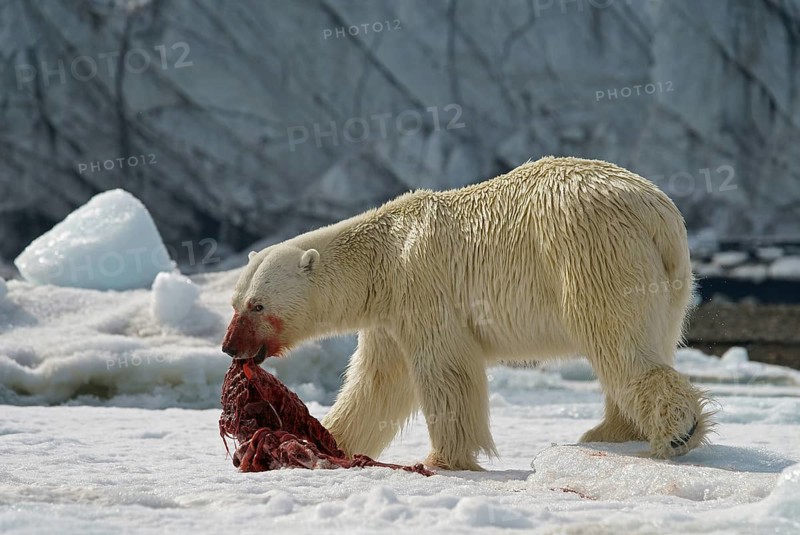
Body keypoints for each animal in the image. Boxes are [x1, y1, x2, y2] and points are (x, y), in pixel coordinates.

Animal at [222, 156, 712, 471]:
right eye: (235, 301)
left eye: (258, 305)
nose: (229, 346)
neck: (383, 257)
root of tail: (658, 214)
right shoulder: (388, 314)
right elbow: (380, 381)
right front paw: (327, 439)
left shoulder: (421, 286)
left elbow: (444, 371)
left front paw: (441, 459)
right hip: (670, 281)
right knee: (646, 340)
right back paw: (610, 431)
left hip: (591, 250)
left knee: (616, 340)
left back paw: (675, 430)